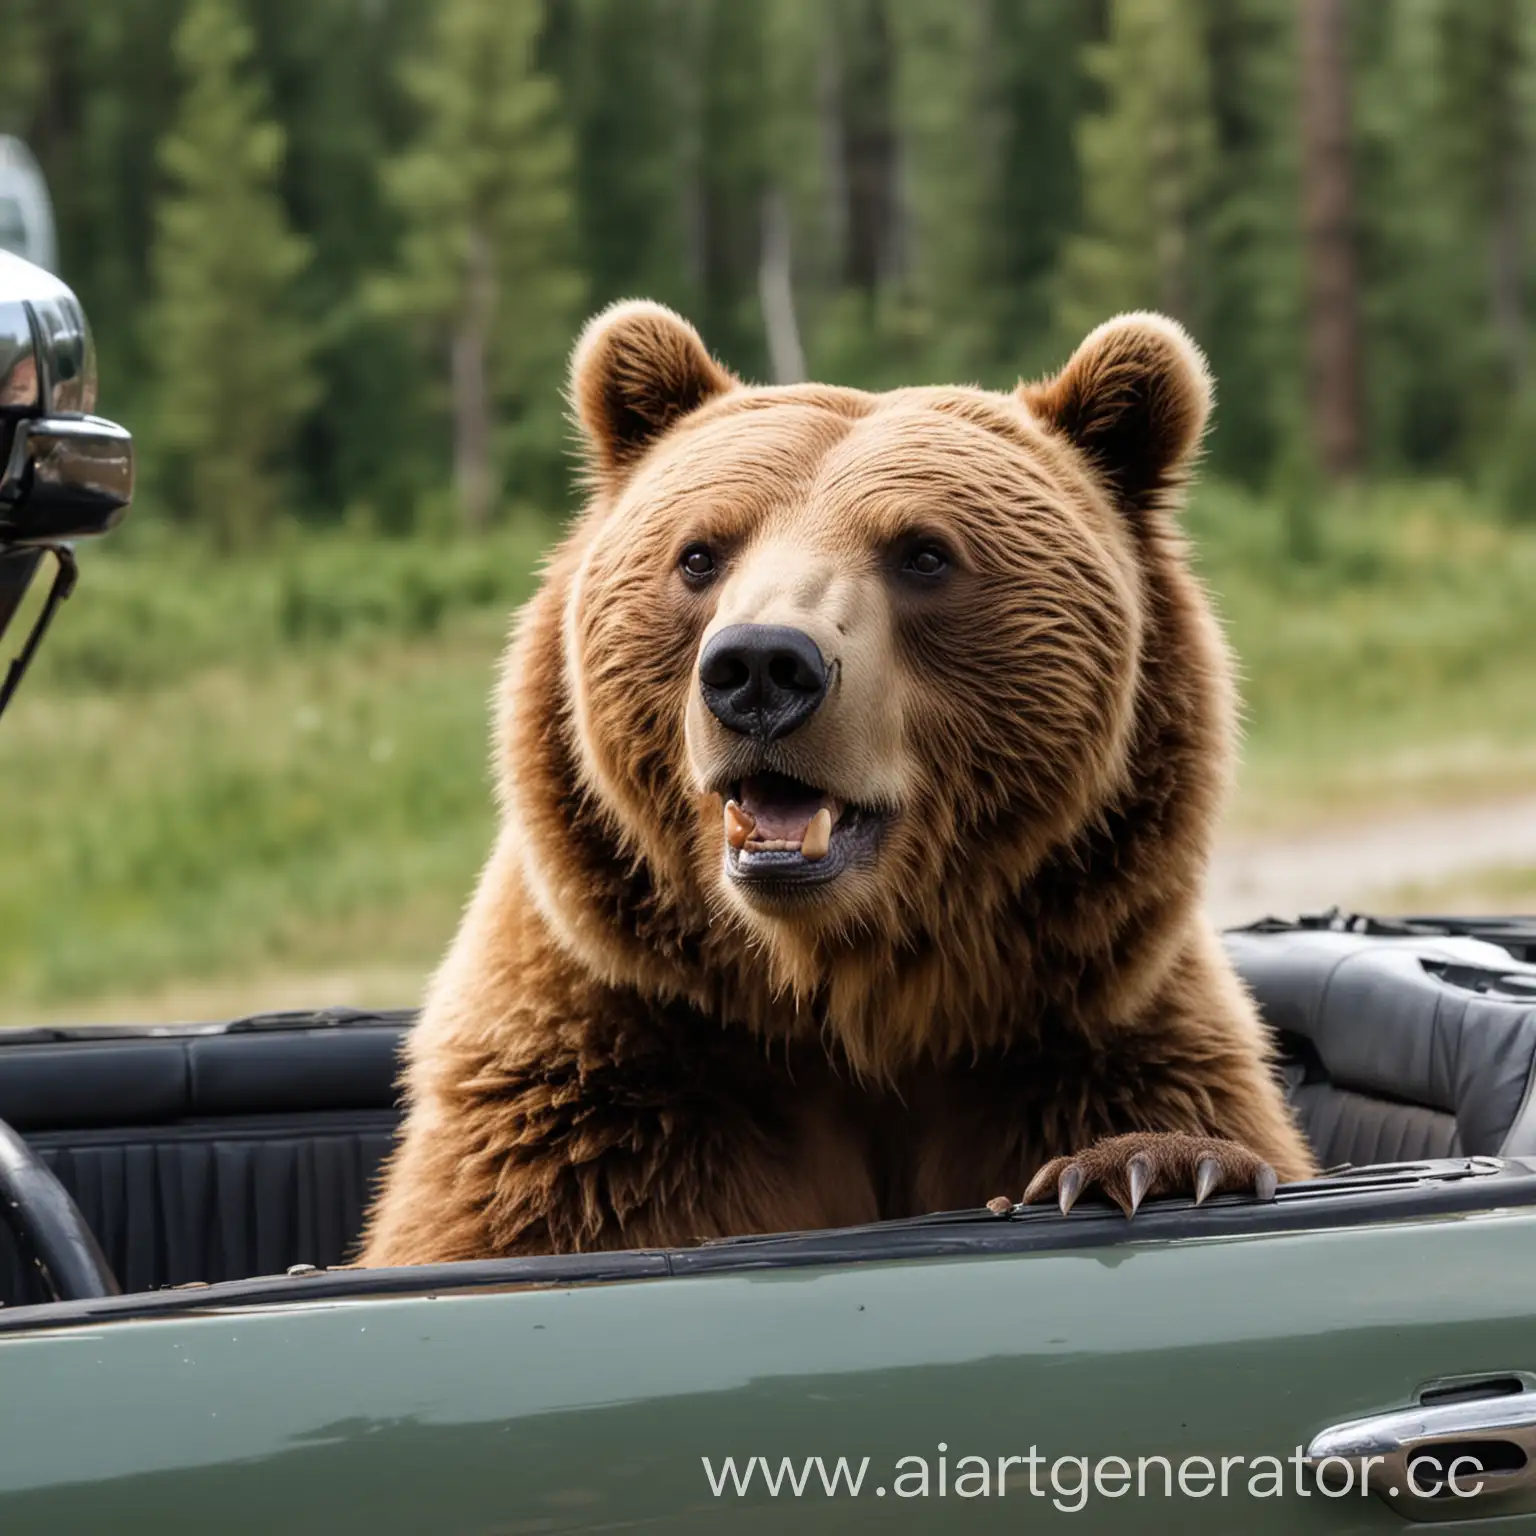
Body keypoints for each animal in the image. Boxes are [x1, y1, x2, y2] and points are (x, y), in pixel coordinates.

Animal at [356, 302, 1308, 1271]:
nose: (760, 668)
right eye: (699, 554)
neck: (842, 995)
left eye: (924, 554)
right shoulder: (603, 1100)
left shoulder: (1086, 1047)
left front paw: (1153, 1165)